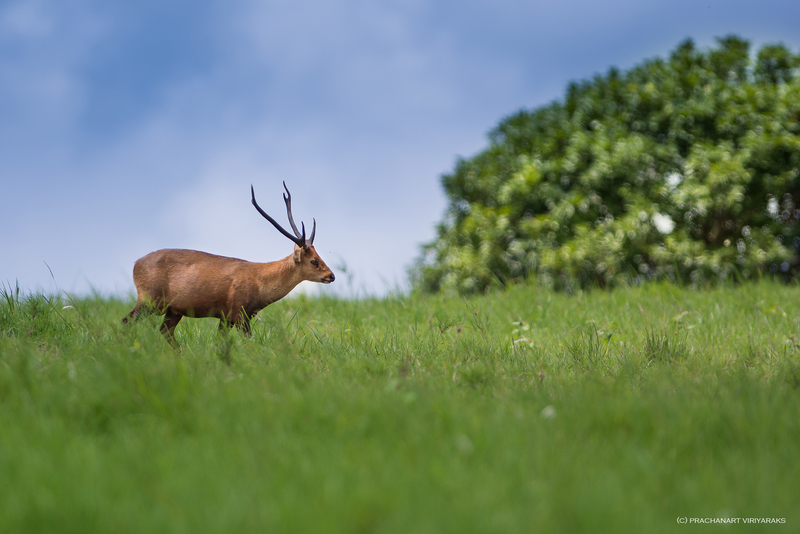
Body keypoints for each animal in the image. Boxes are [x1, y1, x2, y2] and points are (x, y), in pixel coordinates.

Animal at [122, 182, 334, 346]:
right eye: (314, 261)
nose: (331, 275)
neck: (260, 282)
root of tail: (135, 264)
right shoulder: (239, 313)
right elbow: (250, 342)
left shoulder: (228, 317)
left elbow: (220, 342)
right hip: (149, 299)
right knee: (126, 321)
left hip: (173, 309)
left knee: (164, 331)